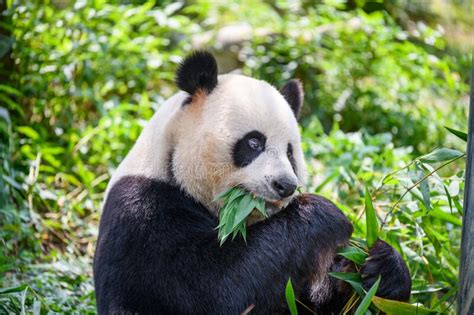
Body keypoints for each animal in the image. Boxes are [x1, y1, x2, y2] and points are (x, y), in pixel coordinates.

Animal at [93, 50, 412, 314]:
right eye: (254, 142)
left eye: (290, 152)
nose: (285, 185)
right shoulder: (144, 214)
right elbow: (214, 289)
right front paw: (325, 215)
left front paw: (378, 268)